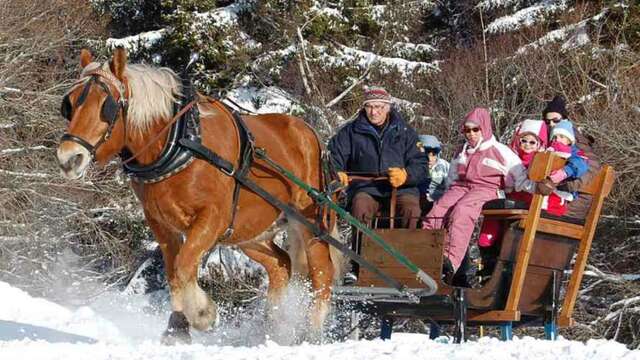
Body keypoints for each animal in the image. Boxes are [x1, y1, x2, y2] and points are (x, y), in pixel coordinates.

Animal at [57, 47, 342, 344]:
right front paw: (177, 327)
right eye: (71, 103)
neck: (181, 142)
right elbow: (174, 273)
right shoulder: (161, 224)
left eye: (107, 104)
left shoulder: (211, 219)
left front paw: (202, 314)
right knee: (281, 266)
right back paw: (272, 330)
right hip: (250, 232)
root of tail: (312, 135)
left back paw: (312, 333)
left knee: (322, 275)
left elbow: (184, 266)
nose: (68, 158)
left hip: (311, 224)